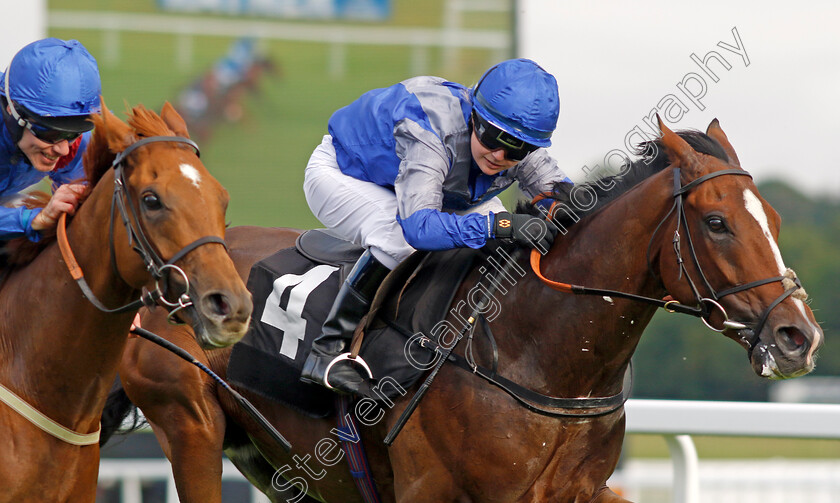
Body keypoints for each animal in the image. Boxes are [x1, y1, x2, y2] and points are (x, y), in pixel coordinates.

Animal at [106, 119, 820, 503]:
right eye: (718, 223)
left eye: (775, 216)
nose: (798, 335)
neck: (535, 354)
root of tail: (161, 281)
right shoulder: (429, 488)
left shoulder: (576, 490)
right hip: (191, 424)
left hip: (280, 462)